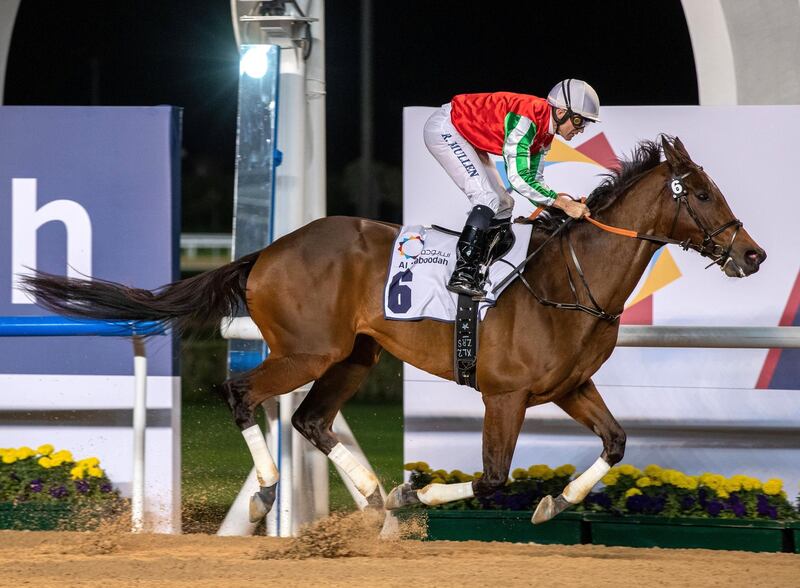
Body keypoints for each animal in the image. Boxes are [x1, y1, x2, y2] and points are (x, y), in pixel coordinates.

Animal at [21, 137, 764, 524]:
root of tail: (268, 251)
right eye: (700, 192)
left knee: (311, 420)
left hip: (355, 355)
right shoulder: (506, 395)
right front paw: (418, 492)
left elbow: (615, 442)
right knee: (241, 392)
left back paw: (372, 497)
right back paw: (273, 491)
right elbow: (492, 477)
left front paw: (557, 501)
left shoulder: (570, 386)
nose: (752, 254)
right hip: (306, 350)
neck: (567, 284)